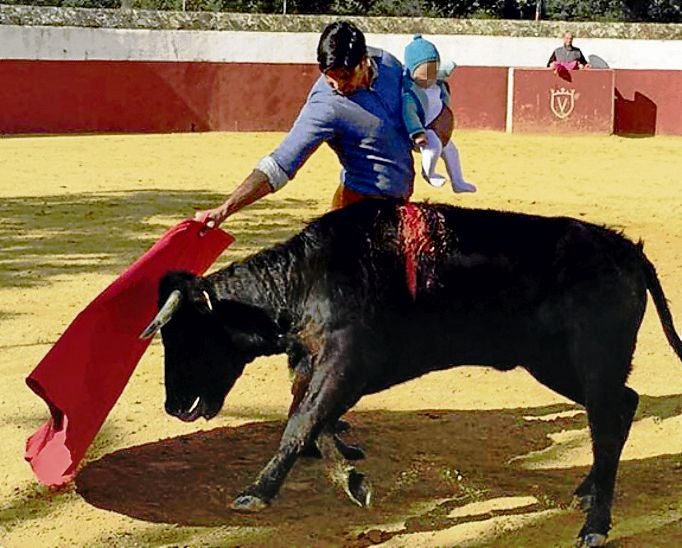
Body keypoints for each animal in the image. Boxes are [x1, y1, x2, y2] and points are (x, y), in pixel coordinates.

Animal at [141, 200, 676, 544]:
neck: (305, 279)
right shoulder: (317, 365)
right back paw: (587, 493)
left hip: (591, 359)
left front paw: (256, 493)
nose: (173, 406)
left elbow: (301, 425)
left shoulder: (344, 363)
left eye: (183, 336)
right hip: (554, 364)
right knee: (621, 407)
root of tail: (626, 248)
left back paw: (596, 525)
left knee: (607, 419)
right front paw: (353, 480)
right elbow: (314, 425)